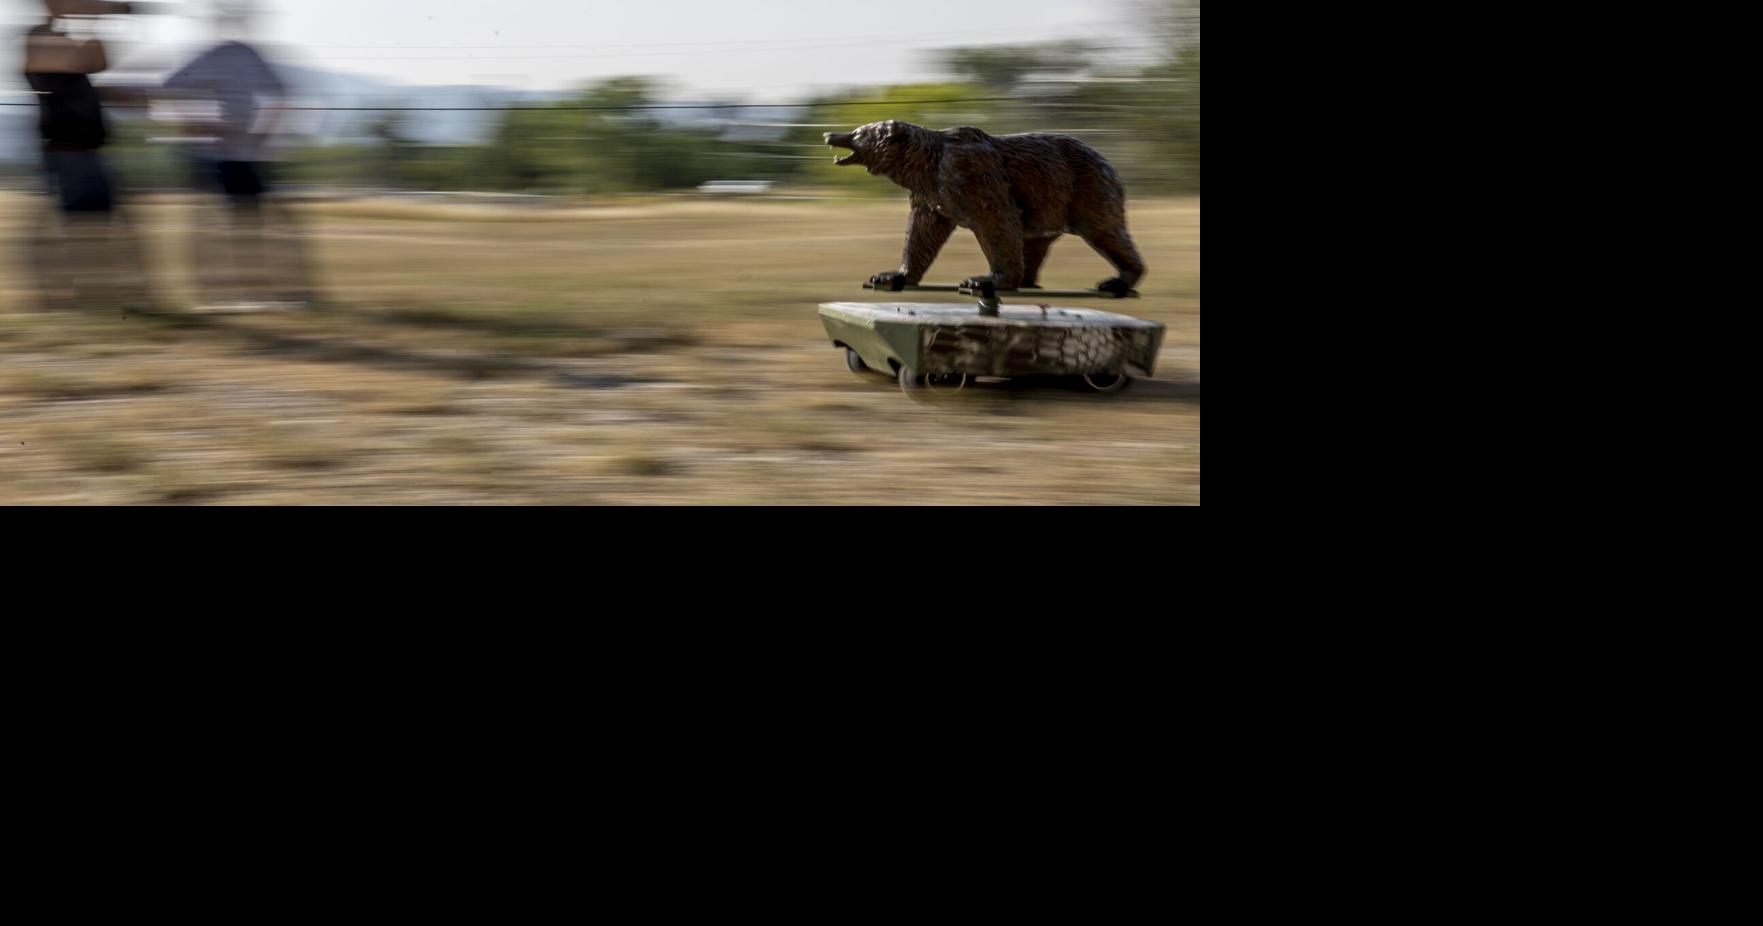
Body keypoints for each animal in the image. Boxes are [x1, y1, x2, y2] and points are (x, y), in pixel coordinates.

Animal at [824, 120, 1146, 297]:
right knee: (1035, 241)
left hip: (1085, 189)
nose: (829, 135)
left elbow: (996, 223)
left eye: (858, 133)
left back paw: (1116, 282)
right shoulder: (931, 193)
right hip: (1048, 203)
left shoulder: (972, 176)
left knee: (1105, 231)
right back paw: (1028, 279)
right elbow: (922, 232)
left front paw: (983, 280)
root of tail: (1108, 162)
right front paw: (889, 275)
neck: (923, 165)